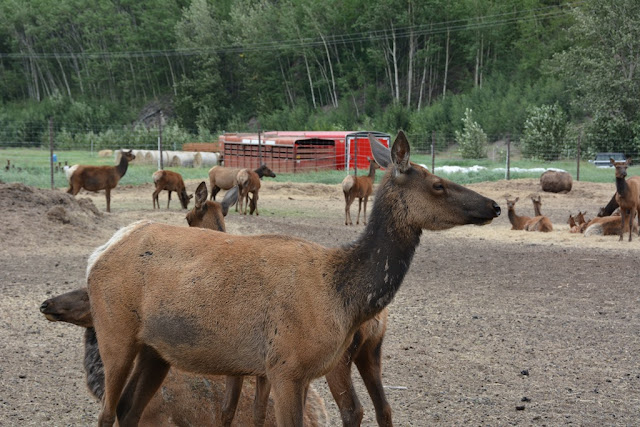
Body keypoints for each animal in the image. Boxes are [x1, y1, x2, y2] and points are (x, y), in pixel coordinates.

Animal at [85, 132, 500, 426]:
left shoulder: (296, 372)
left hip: (156, 349)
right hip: (115, 331)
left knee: (128, 408)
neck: (342, 296)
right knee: (107, 411)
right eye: (437, 184)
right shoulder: (285, 366)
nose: (494, 205)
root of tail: (97, 254)